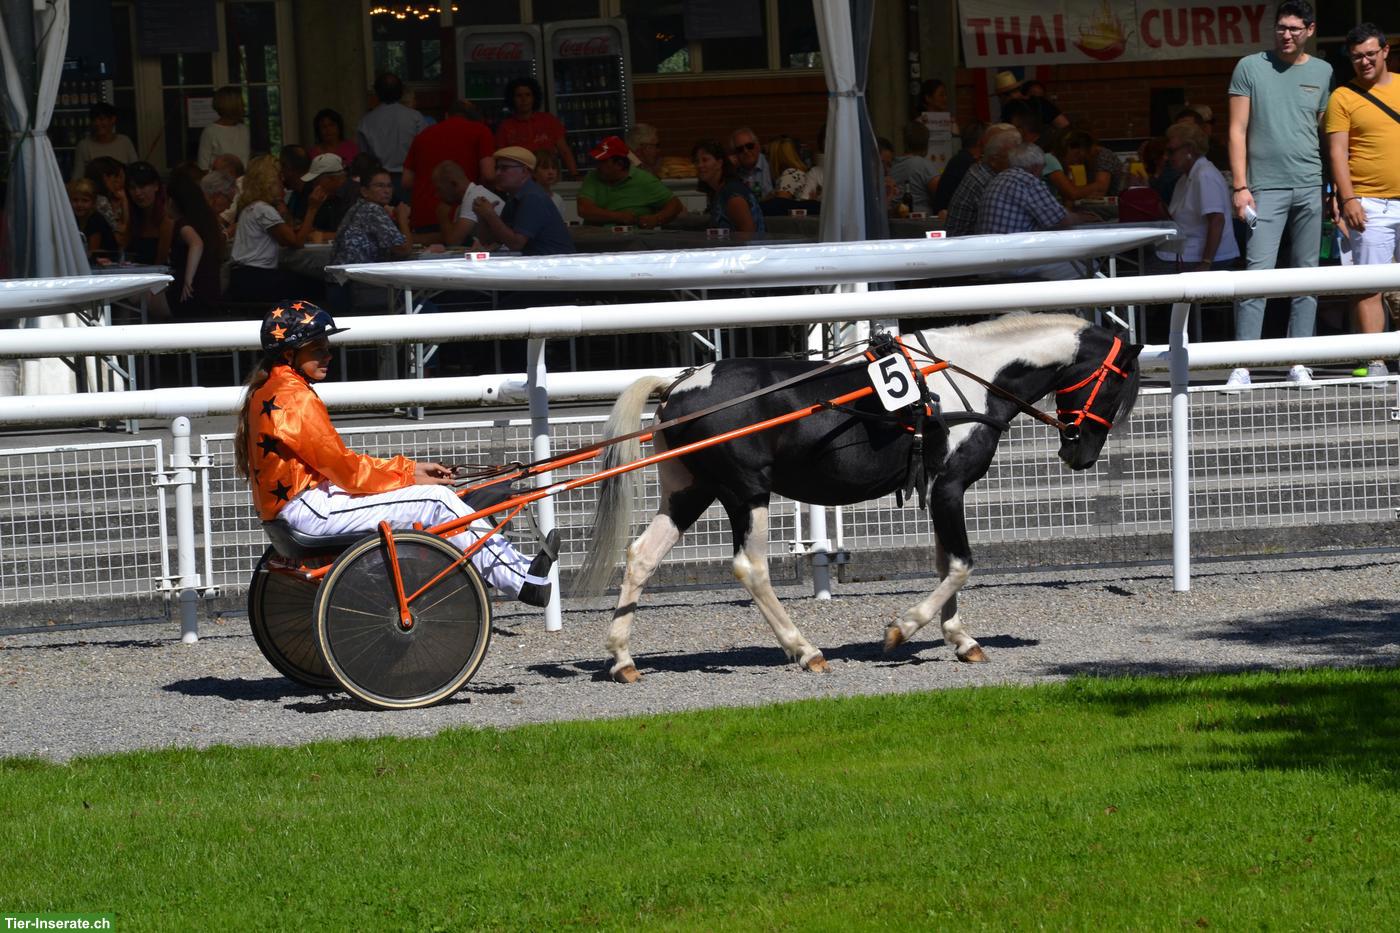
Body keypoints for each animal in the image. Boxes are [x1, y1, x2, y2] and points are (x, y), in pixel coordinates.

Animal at [574, 313, 1143, 683]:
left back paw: (623, 659)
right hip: (746, 493)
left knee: (641, 557)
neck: (961, 378)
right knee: (750, 569)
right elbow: (961, 564)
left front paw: (961, 639)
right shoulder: (951, 486)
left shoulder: (939, 491)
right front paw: (901, 630)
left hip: (690, 492)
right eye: (1118, 386)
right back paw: (804, 650)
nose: (1081, 453)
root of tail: (679, 386)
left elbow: (946, 564)